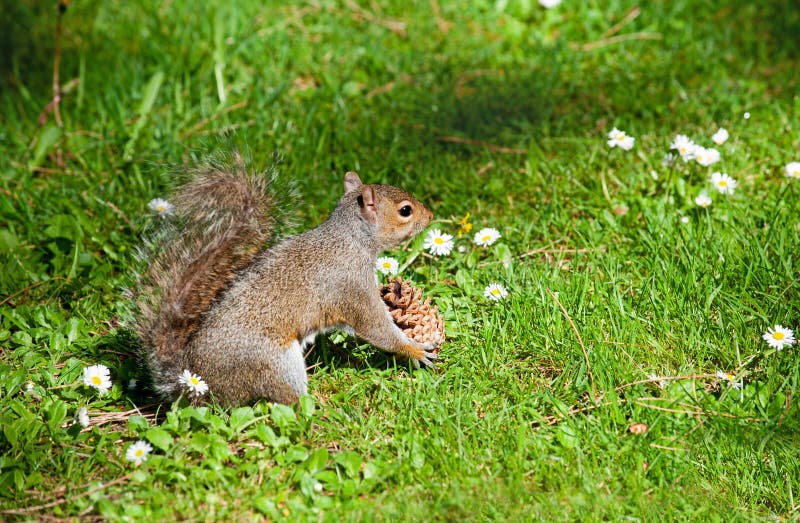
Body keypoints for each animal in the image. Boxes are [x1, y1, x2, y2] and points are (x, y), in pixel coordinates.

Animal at [131, 155, 437, 406]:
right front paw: (415, 349)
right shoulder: (351, 286)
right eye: (405, 210)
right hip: (275, 366)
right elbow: (374, 327)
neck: (349, 238)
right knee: (287, 402)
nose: (432, 215)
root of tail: (196, 382)